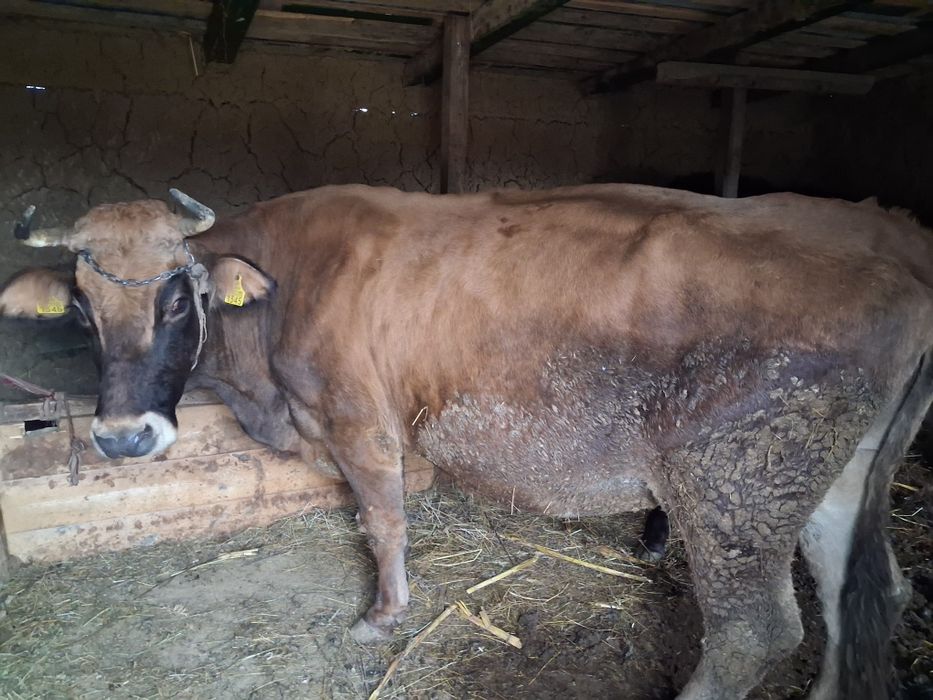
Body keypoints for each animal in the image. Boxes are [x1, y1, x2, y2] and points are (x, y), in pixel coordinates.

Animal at [2, 184, 932, 700]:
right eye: (80, 309)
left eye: (176, 299)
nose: (122, 438)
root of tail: (898, 256)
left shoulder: (359, 422)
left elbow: (383, 524)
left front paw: (383, 616)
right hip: (831, 479)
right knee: (866, 585)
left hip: (733, 487)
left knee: (753, 633)